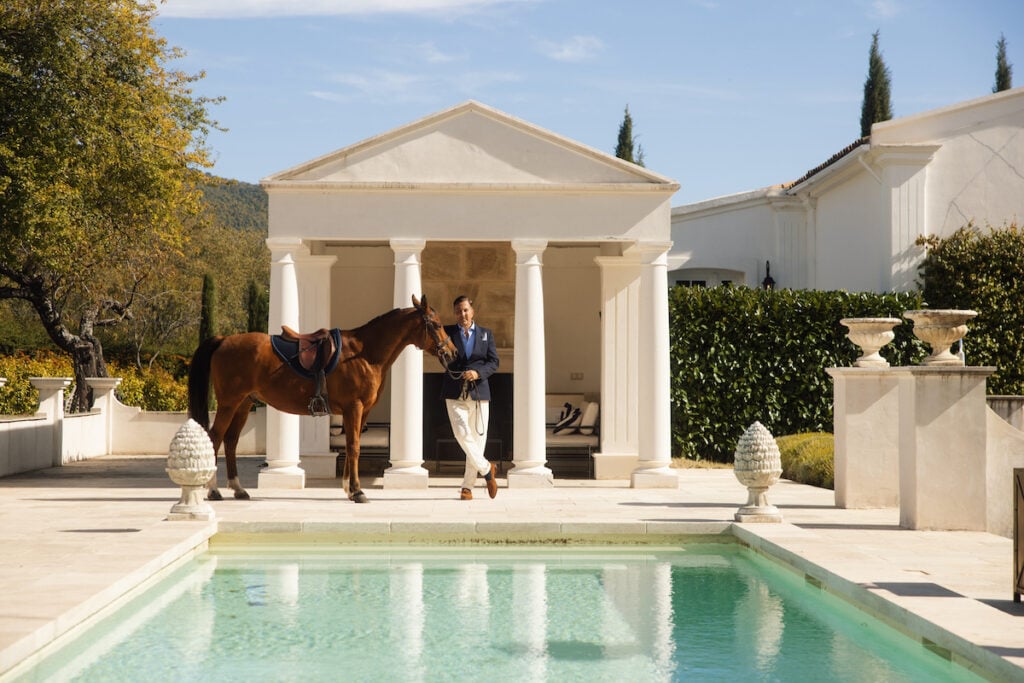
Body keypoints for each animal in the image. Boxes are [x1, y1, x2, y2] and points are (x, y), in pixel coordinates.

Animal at [187, 295, 457, 503]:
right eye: (436, 324)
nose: (452, 353)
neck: (365, 353)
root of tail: (223, 340)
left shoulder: (362, 411)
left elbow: (351, 446)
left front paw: (348, 488)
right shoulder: (354, 407)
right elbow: (354, 447)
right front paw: (357, 492)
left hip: (243, 404)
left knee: (230, 441)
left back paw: (238, 489)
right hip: (229, 403)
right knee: (215, 438)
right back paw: (213, 491)